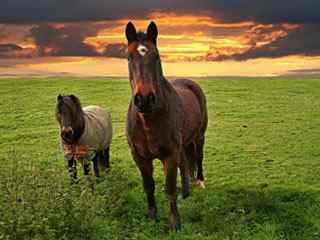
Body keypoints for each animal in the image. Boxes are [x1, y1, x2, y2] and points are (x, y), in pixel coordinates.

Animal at [125, 22, 208, 231]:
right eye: (129, 57)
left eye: (156, 56)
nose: (144, 99)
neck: (148, 119)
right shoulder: (139, 157)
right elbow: (148, 186)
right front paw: (151, 215)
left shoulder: (169, 155)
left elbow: (170, 188)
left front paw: (174, 222)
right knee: (186, 162)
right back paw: (186, 190)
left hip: (199, 137)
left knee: (198, 157)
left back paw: (199, 182)